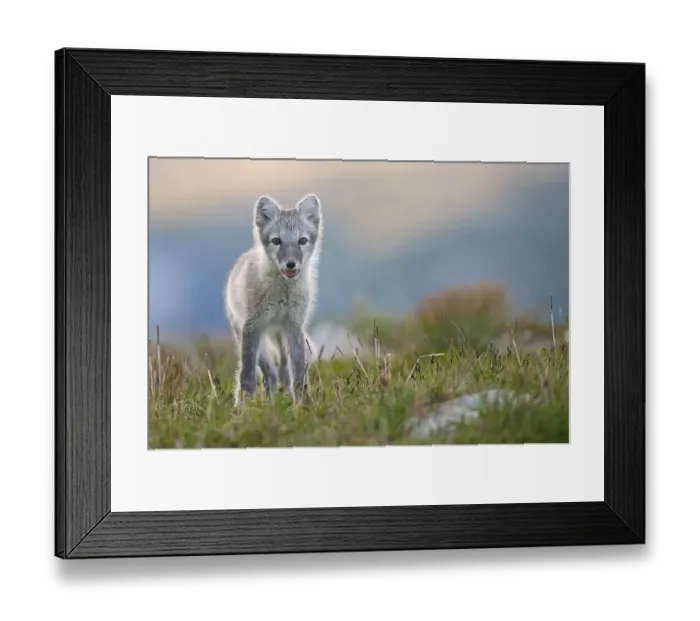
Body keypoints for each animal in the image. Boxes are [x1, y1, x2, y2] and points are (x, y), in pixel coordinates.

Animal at [224, 193, 323, 406]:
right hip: (248, 332)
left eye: (302, 240)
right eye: (276, 241)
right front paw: (244, 404)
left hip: (280, 334)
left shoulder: (294, 325)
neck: (282, 296)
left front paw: (302, 403)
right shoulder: (252, 326)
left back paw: (284, 396)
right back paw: (267, 400)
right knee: (269, 371)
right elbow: (247, 372)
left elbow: (298, 370)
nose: (291, 264)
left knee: (283, 370)